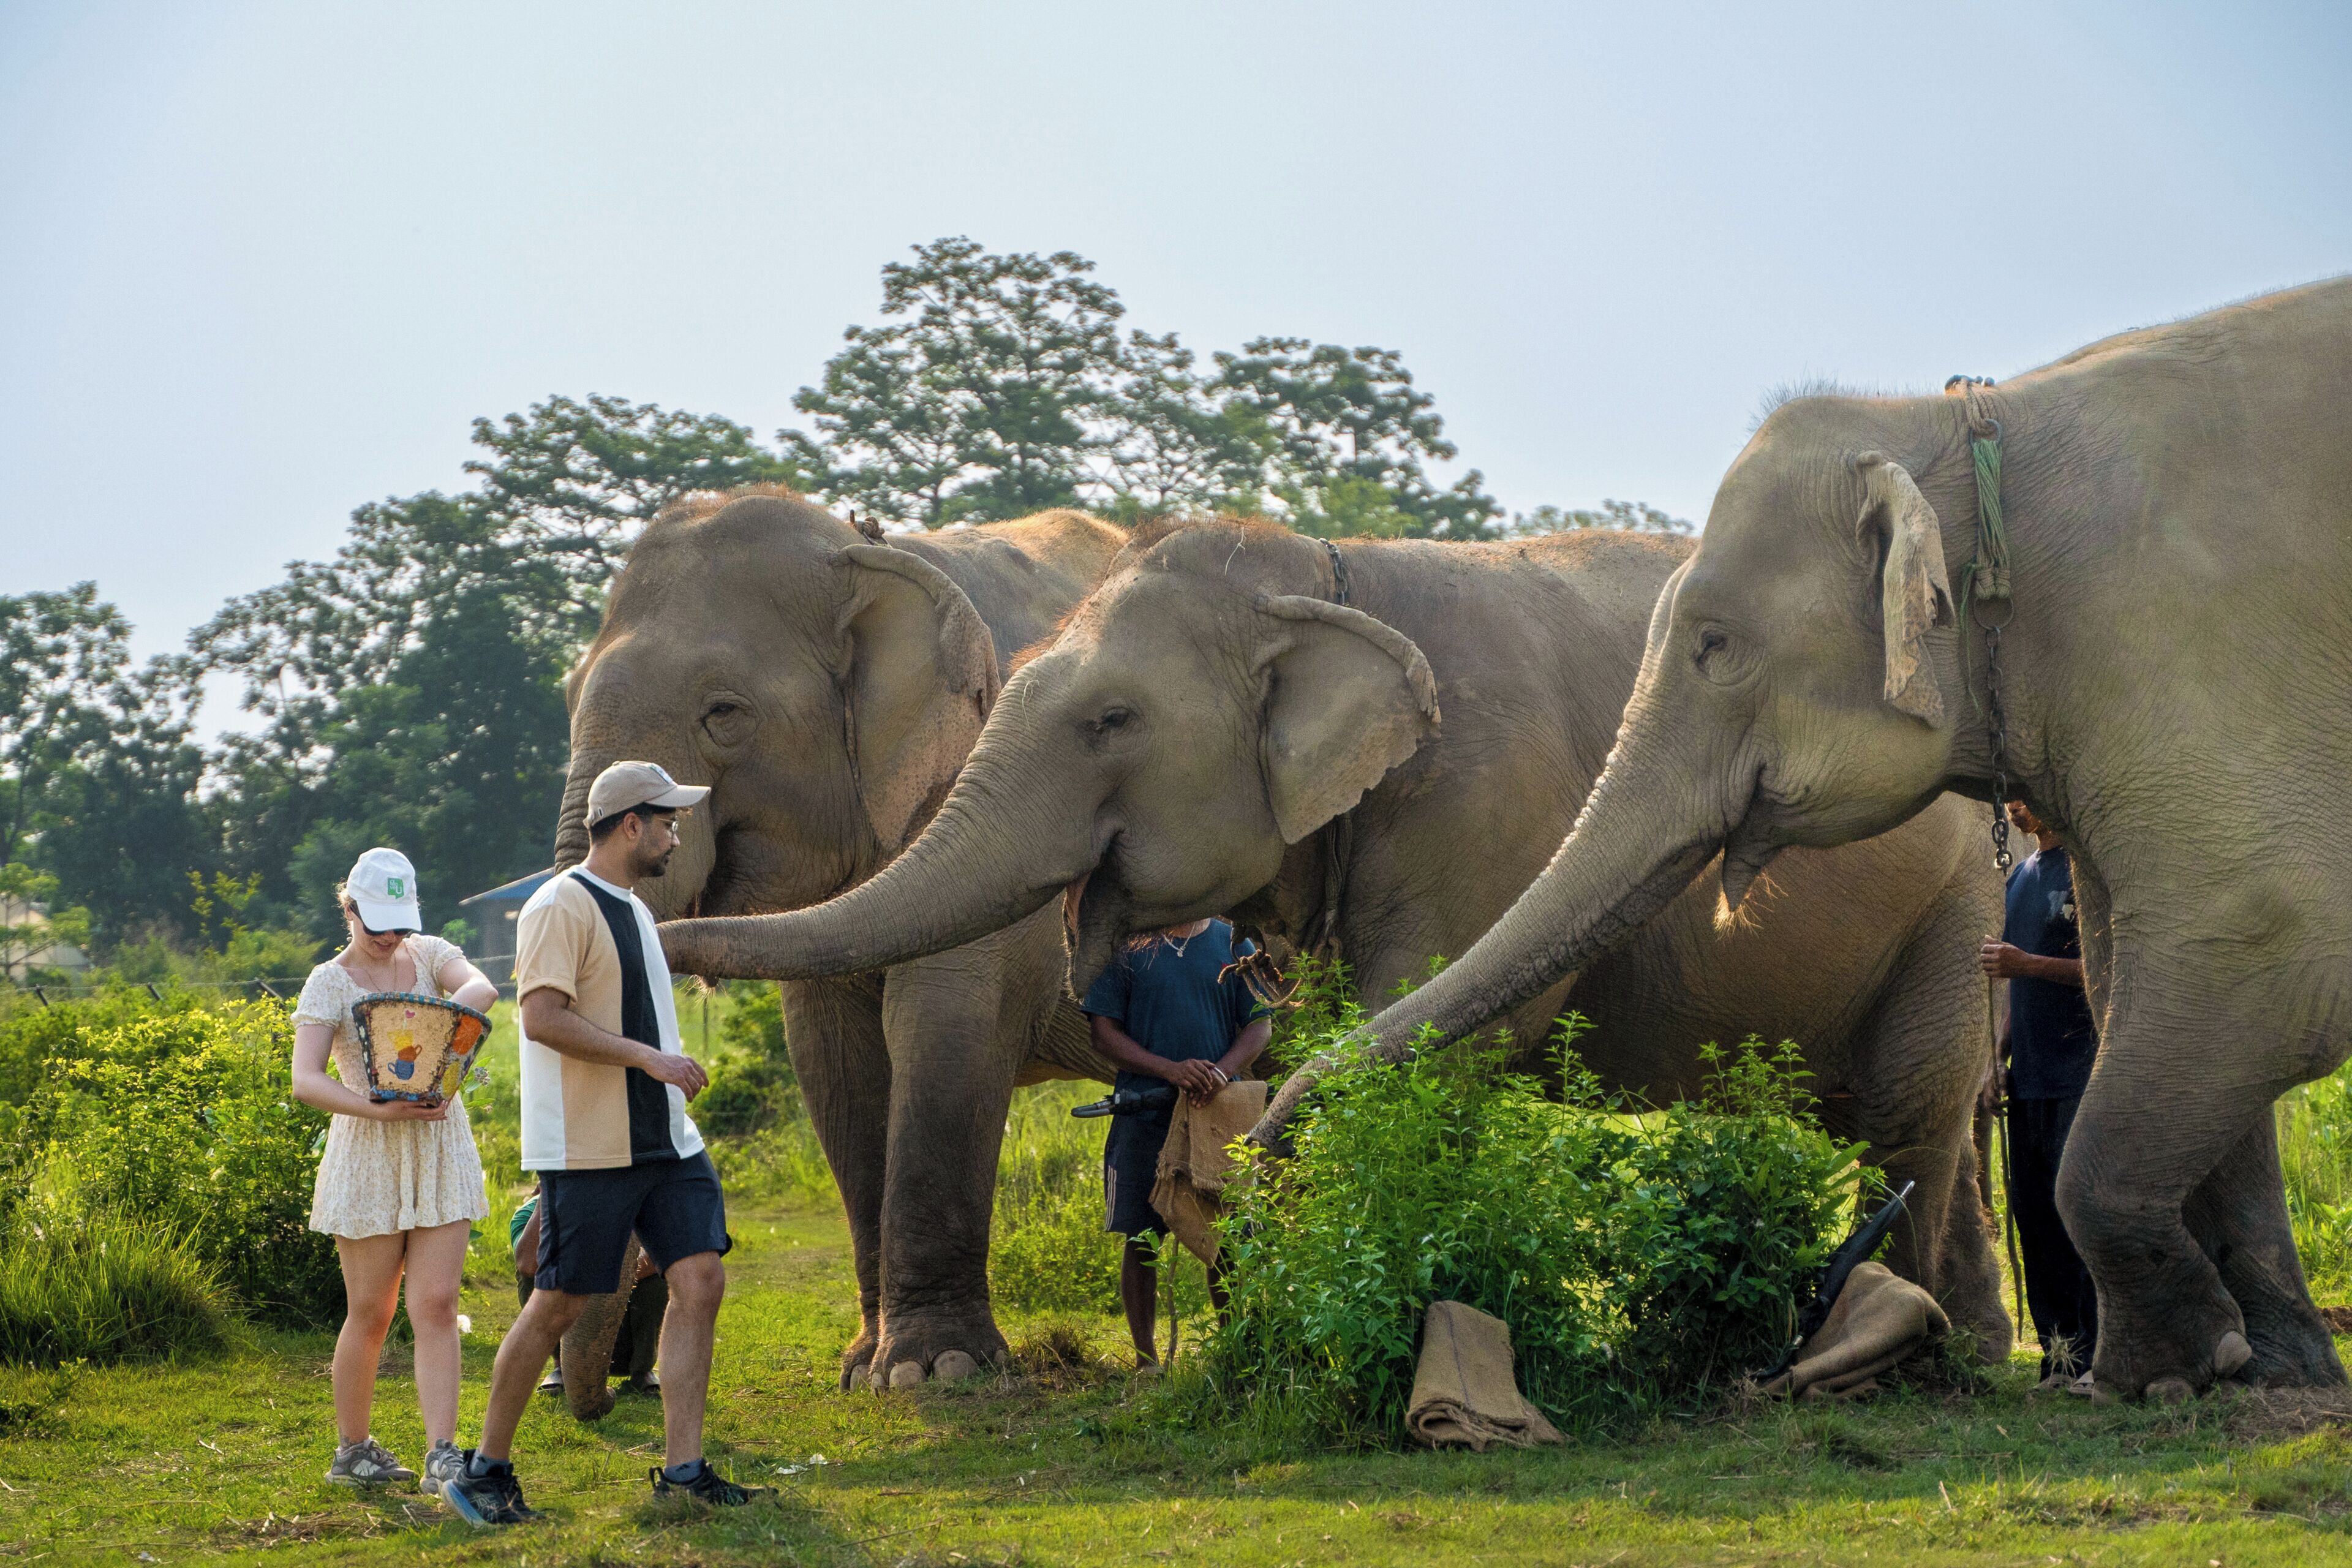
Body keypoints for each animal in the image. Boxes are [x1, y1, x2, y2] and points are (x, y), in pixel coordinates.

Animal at [553, 487, 1124, 1391]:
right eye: (568, 697)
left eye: (724, 714)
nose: (612, 1382)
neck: (863, 552)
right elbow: (834, 1059)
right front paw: (864, 1368)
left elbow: (946, 1029)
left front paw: (937, 1373)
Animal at [659, 515, 2013, 1355]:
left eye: (1111, 721)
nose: (664, 933)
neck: (1326, 572)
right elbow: (1341, 1026)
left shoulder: (1492, 801)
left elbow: (1439, 1035)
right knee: (1914, 1114)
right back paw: (1969, 1339)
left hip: (1961, 908)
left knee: (1909, 1111)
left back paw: (1916, 1346)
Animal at [1289, 279, 2352, 1400]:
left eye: (1715, 646)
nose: (1277, 1137)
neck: (1962, 426)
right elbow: (2136, 975)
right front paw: (2267, 1370)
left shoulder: (2192, 645)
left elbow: (2263, 947)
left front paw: (2163, 1376)